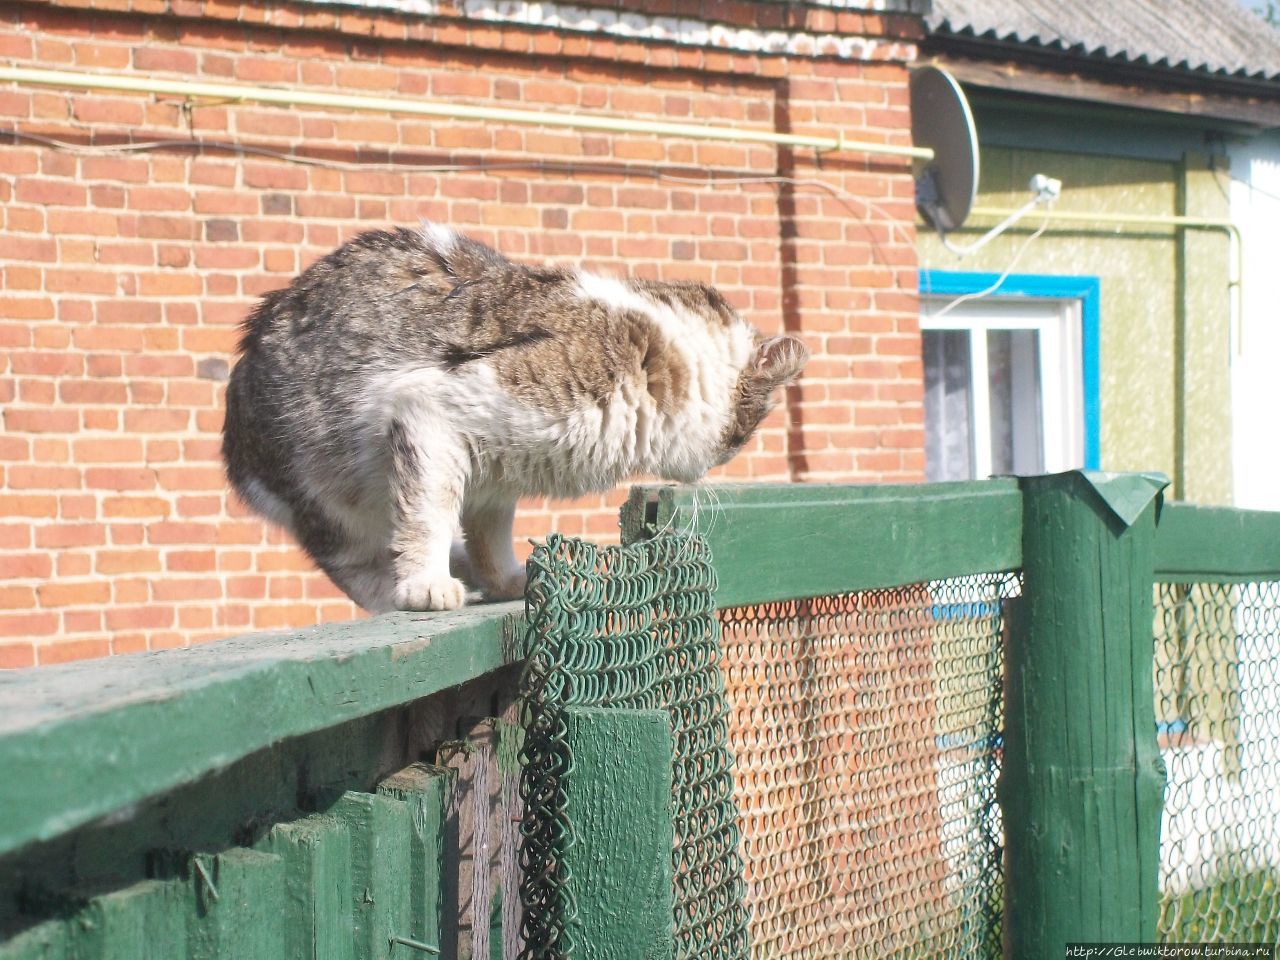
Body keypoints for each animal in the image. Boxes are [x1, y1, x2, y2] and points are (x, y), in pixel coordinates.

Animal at [220, 225, 798, 611]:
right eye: (743, 436)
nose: (715, 466)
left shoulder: (497, 475)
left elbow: (489, 536)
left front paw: (506, 582)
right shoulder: (431, 413)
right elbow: (428, 518)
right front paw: (426, 586)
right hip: (328, 494)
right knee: (354, 562)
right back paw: (396, 593)